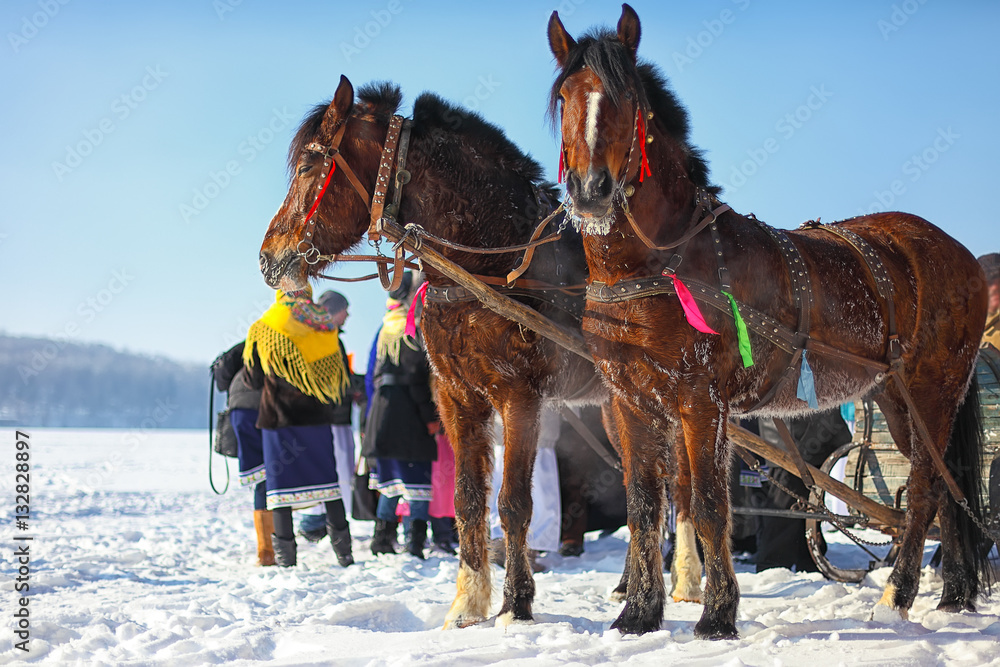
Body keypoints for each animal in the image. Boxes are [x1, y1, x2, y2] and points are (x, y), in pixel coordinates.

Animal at [256, 75, 608, 628]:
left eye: (310, 166)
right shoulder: (456, 397)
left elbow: (512, 503)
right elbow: (467, 500)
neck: (493, 265)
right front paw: (467, 605)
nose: (269, 257)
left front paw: (516, 606)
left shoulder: (521, 397)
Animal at [548, 5, 992, 640]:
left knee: (930, 489)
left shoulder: (702, 401)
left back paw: (899, 592)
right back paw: (953, 594)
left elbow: (710, 504)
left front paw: (716, 614)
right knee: (946, 486)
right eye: (566, 97)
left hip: (935, 388)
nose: (590, 192)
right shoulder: (630, 401)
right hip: (897, 397)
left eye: (625, 98)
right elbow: (644, 506)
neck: (661, 262)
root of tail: (957, 252)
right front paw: (638, 612)